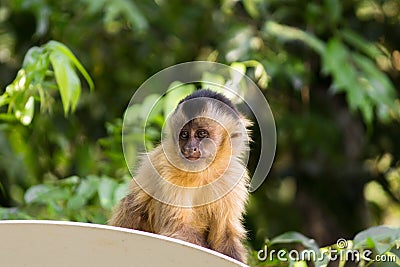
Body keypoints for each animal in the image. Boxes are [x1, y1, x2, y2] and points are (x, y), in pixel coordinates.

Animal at [109, 89, 250, 264]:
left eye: (201, 134)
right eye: (184, 134)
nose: (190, 148)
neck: (203, 171)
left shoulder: (232, 177)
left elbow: (224, 235)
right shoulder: (167, 167)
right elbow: (178, 228)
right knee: (133, 203)